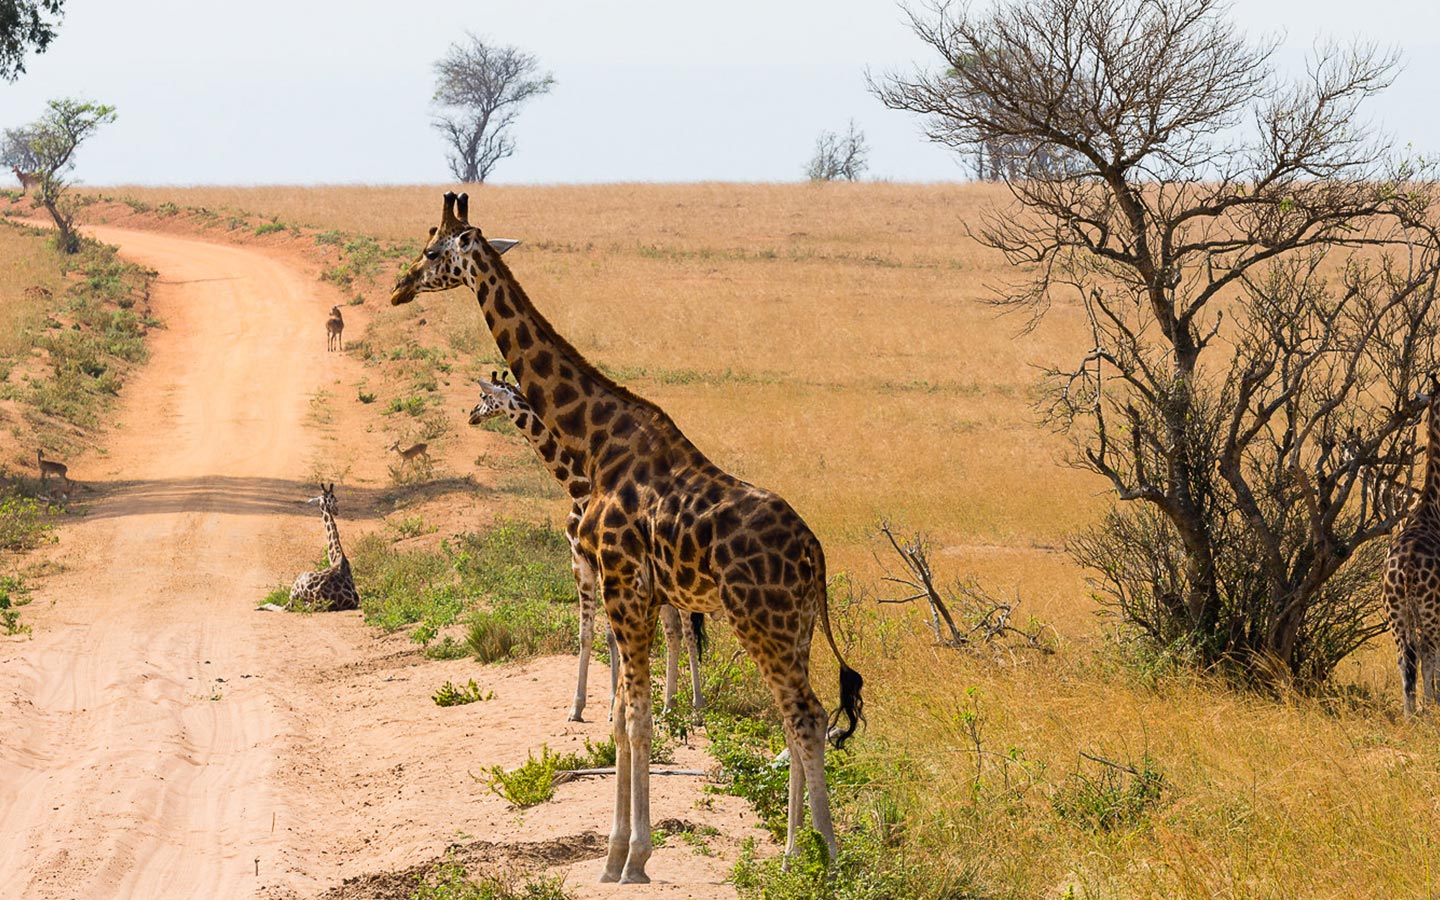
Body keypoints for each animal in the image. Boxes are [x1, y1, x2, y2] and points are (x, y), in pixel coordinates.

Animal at [468, 371, 706, 721]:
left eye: (485, 398)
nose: (471, 415)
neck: (580, 490)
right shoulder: (580, 563)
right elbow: (588, 634)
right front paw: (579, 707)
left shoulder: (606, 566)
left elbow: (611, 635)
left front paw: (612, 707)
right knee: (672, 629)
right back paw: (668, 706)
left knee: (687, 629)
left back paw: (696, 707)